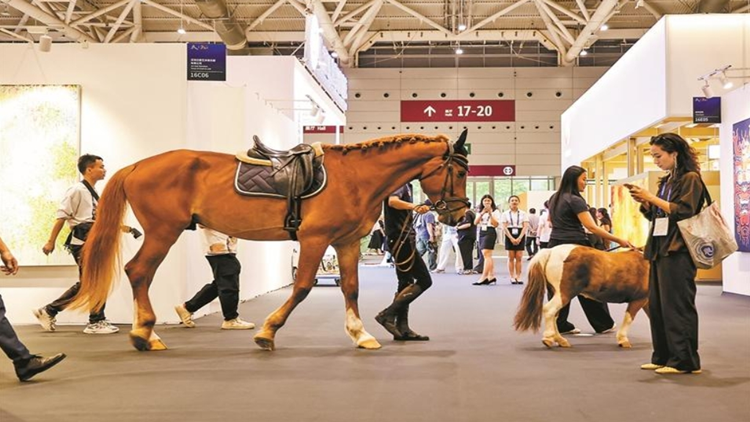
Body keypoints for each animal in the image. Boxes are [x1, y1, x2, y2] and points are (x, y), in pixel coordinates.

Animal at [70, 132, 470, 352]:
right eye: (459, 171)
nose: (458, 214)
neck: (355, 177)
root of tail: (138, 166)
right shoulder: (315, 239)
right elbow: (303, 286)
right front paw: (267, 331)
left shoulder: (346, 242)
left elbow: (351, 289)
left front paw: (360, 334)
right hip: (163, 232)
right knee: (139, 272)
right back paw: (144, 334)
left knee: (138, 273)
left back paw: (146, 333)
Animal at [513, 244, 650, 348]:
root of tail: (551, 251)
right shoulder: (639, 299)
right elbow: (629, 318)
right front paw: (623, 340)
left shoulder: (646, 302)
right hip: (564, 294)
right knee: (549, 310)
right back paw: (548, 338)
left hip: (556, 293)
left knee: (554, 316)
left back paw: (561, 340)